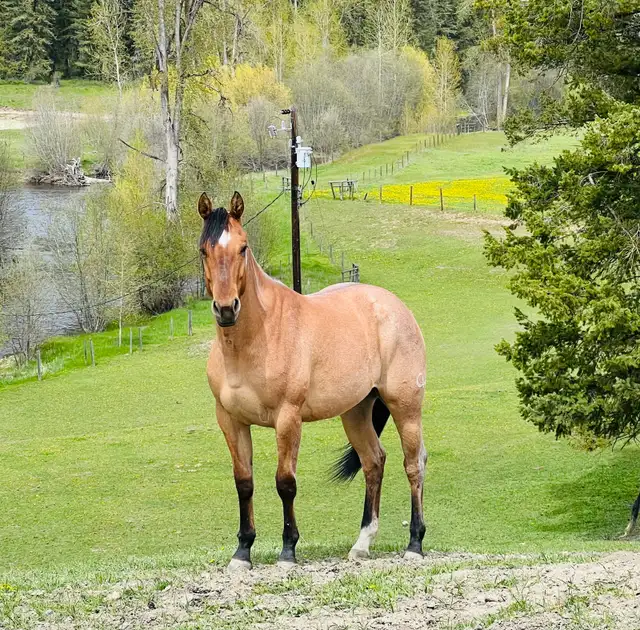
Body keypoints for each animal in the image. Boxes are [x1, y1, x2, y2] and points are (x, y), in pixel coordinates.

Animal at [199, 191, 427, 570]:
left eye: (243, 248)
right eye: (203, 250)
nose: (226, 309)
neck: (257, 338)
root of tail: (395, 307)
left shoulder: (288, 418)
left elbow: (285, 482)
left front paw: (288, 551)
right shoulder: (230, 420)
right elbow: (244, 482)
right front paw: (242, 551)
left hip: (405, 408)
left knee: (414, 464)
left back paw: (415, 543)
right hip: (356, 412)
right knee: (373, 462)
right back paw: (361, 544)